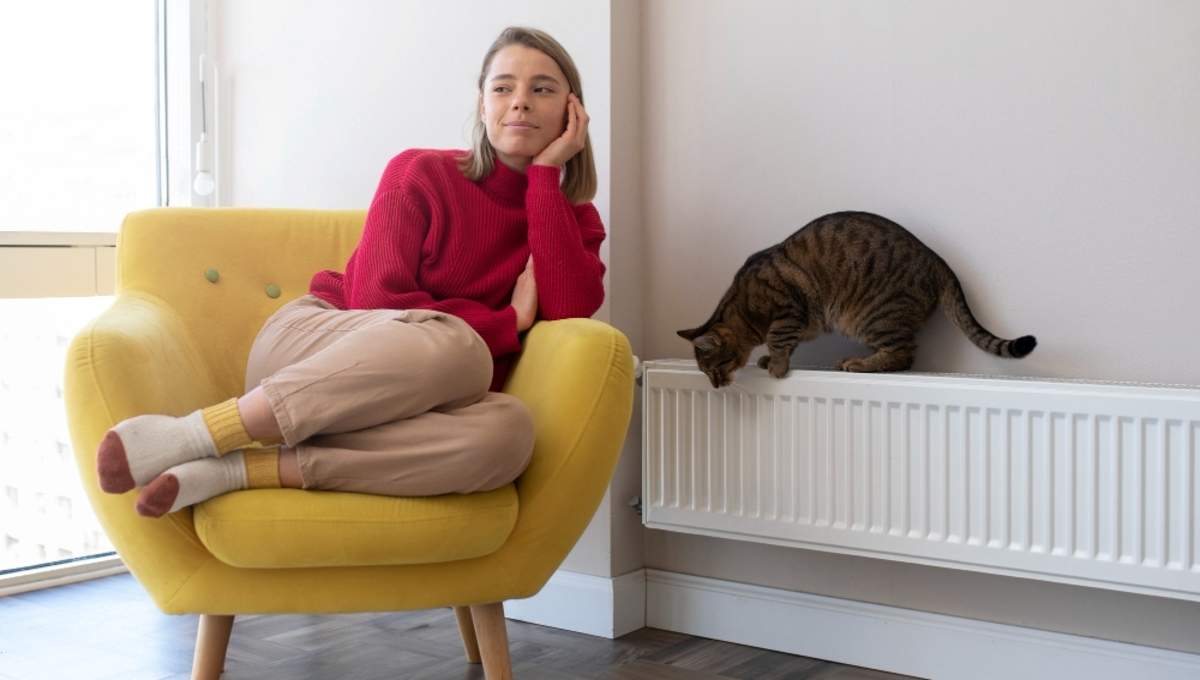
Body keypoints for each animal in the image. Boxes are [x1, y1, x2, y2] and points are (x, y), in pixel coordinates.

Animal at [681, 211, 1036, 388]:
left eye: (714, 368)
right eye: (705, 373)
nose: (715, 387)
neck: (741, 306)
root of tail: (938, 260)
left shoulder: (787, 311)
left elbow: (779, 340)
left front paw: (777, 367)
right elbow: (787, 344)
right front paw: (770, 360)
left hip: (871, 315)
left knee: (903, 355)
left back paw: (859, 363)